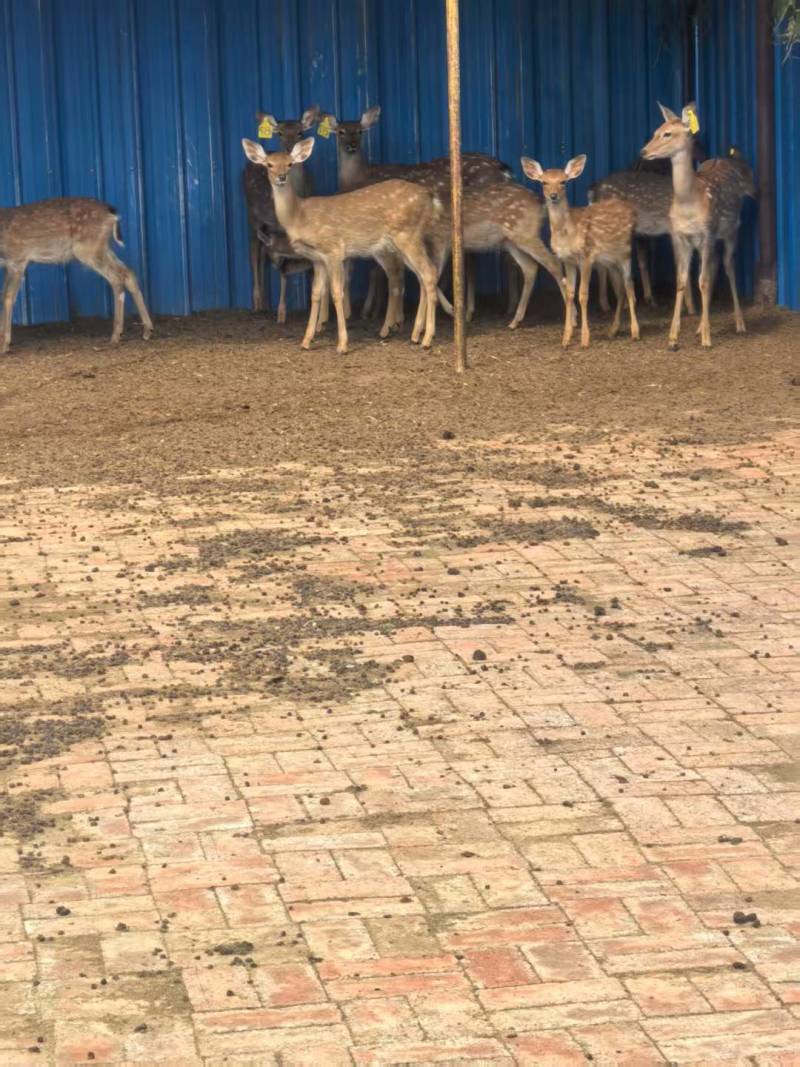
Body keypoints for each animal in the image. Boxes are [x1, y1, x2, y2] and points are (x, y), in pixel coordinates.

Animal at [1, 198, 152, 355]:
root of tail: (112, 213)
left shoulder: (17, 259)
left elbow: (8, 298)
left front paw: (4, 345)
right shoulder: (8, 265)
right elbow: (3, 295)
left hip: (86, 248)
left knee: (116, 278)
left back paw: (116, 335)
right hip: (102, 247)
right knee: (128, 272)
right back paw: (147, 330)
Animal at [241, 137, 442, 355]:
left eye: (290, 163)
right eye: (269, 164)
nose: (281, 177)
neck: (299, 217)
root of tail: (430, 197)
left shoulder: (333, 250)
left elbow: (337, 292)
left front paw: (342, 344)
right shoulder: (317, 259)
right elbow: (316, 294)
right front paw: (306, 341)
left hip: (407, 235)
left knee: (429, 273)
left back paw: (427, 339)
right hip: (405, 242)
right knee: (423, 276)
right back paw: (415, 335)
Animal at [242, 105, 320, 321]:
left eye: (300, 132)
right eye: (280, 133)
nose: (289, 149)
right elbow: (283, 269)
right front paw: (281, 312)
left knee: (261, 251)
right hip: (251, 216)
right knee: (254, 251)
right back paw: (257, 302)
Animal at [522, 155, 639, 349]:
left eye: (563, 181)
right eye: (544, 182)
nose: (553, 196)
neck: (567, 234)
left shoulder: (586, 256)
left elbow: (583, 295)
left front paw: (585, 339)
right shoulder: (567, 260)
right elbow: (569, 294)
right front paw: (565, 339)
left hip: (626, 252)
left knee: (630, 287)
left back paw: (635, 332)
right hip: (610, 262)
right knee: (621, 290)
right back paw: (612, 331)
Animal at [641, 103, 755, 349]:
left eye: (667, 134)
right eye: (656, 130)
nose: (643, 151)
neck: (689, 202)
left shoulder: (707, 232)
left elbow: (702, 281)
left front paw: (707, 339)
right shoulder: (680, 237)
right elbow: (681, 281)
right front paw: (673, 338)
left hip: (731, 230)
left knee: (728, 266)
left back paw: (739, 324)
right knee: (714, 267)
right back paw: (700, 327)